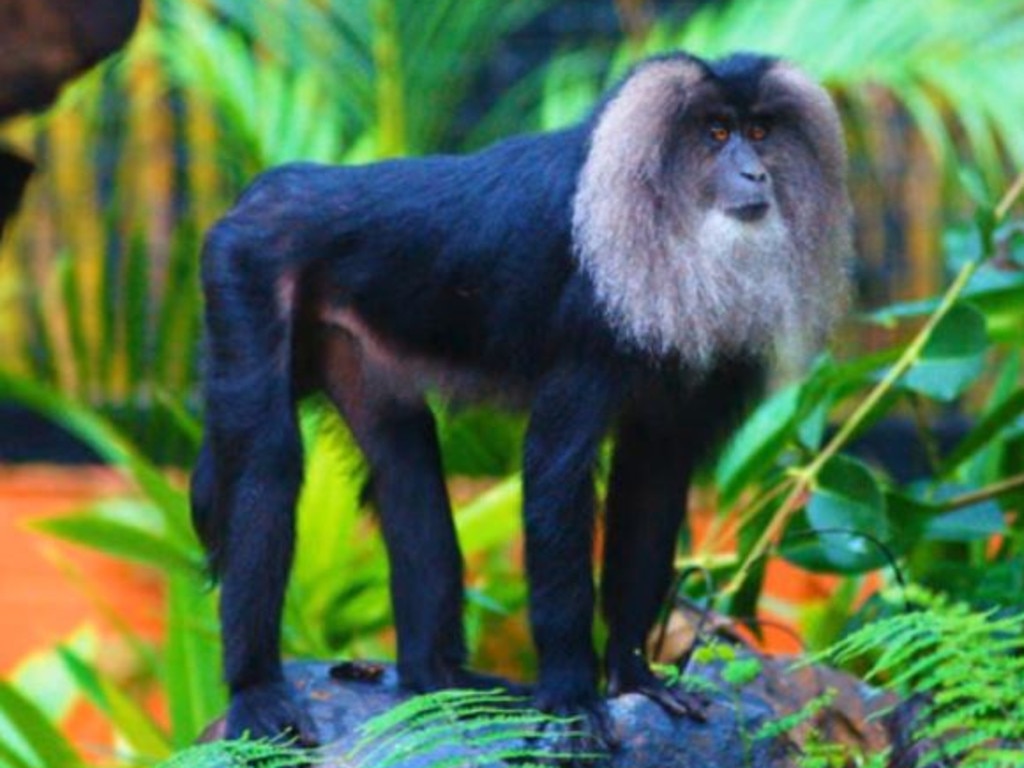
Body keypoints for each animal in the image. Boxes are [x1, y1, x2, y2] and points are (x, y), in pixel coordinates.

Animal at [188, 51, 851, 761]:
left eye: (760, 132)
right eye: (717, 133)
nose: (755, 173)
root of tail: (269, 188)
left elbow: (651, 481)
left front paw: (634, 675)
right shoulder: (590, 321)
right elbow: (557, 469)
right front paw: (571, 695)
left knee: (405, 463)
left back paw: (437, 675)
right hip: (243, 267)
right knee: (266, 465)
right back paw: (256, 691)